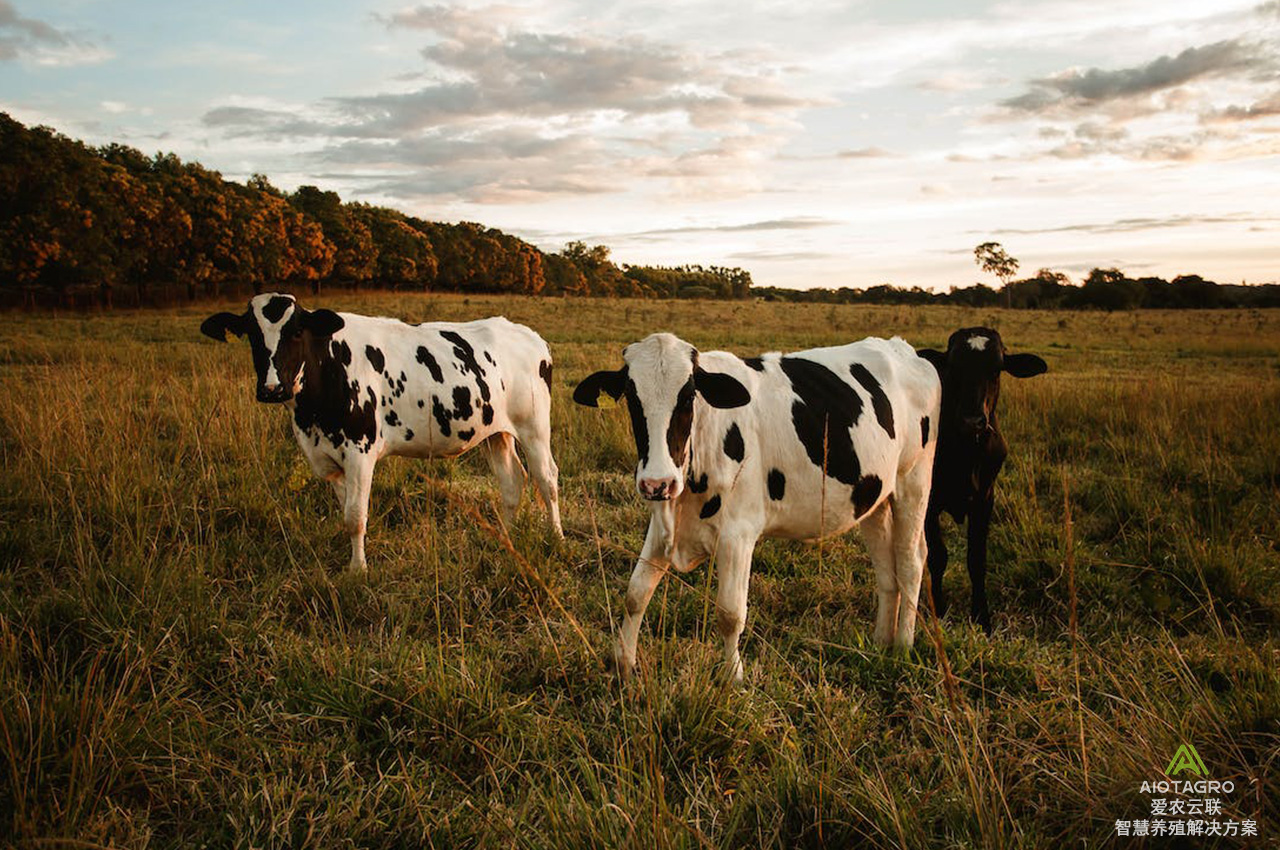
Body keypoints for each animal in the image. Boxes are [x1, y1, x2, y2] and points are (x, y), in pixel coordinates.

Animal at [202, 294, 563, 570]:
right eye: (251, 333)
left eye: (296, 331)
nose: (272, 388)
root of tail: (529, 335)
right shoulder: (326, 458)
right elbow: (346, 512)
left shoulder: (360, 451)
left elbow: (356, 515)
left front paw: (358, 570)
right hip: (494, 432)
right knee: (512, 480)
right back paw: (506, 538)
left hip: (534, 426)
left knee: (547, 478)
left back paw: (556, 537)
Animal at [576, 332, 947, 686]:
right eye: (632, 397)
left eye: (688, 396)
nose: (657, 483)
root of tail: (904, 349)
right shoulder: (662, 526)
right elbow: (635, 593)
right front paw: (623, 665)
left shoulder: (737, 534)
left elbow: (730, 613)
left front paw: (733, 676)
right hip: (874, 494)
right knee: (886, 568)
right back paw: (880, 643)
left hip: (913, 480)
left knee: (910, 561)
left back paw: (903, 646)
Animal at [921, 325, 1049, 629]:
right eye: (954, 366)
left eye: (996, 368)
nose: (972, 421)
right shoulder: (930, 500)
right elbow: (938, 556)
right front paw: (940, 609)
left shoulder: (985, 498)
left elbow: (976, 558)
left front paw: (982, 615)